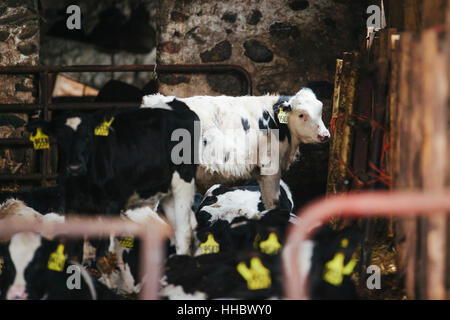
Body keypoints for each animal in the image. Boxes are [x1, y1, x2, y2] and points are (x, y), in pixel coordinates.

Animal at [26, 99, 199, 254]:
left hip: (184, 180)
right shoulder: (72, 206)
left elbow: (104, 249)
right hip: (167, 190)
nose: (75, 167)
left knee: (184, 231)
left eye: (88, 136)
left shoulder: (112, 204)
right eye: (60, 138)